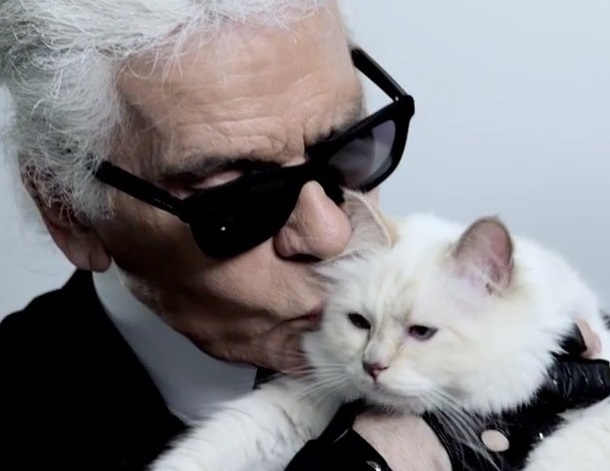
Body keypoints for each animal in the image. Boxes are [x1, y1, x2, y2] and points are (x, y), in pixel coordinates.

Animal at [149, 191, 610, 471]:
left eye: (421, 332)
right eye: (360, 323)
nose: (372, 366)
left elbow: (573, 450)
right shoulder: (305, 403)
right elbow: (206, 451)